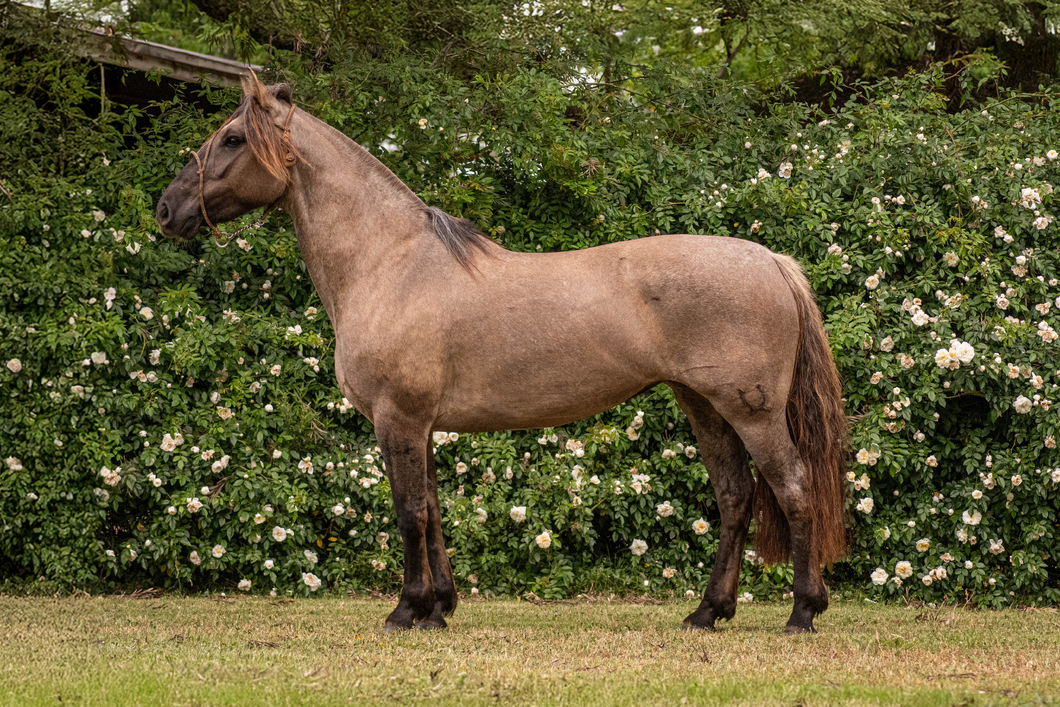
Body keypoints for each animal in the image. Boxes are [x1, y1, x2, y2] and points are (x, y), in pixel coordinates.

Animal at [156, 72, 848, 635]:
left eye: (232, 139)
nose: (166, 211)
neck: (390, 263)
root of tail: (771, 261)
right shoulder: (421, 425)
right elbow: (434, 511)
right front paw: (439, 608)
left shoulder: (397, 419)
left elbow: (408, 513)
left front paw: (406, 610)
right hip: (704, 405)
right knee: (734, 498)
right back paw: (708, 612)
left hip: (753, 412)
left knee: (792, 488)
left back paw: (802, 611)